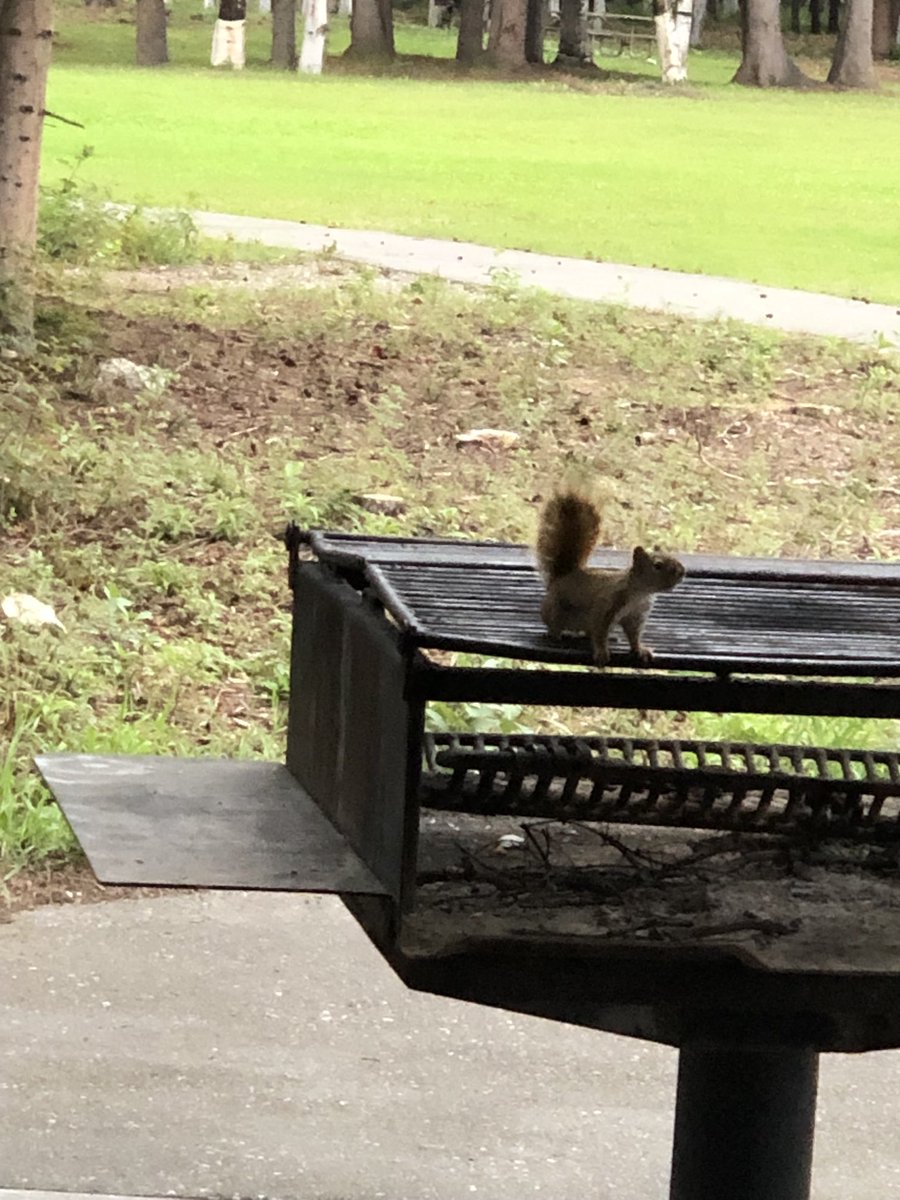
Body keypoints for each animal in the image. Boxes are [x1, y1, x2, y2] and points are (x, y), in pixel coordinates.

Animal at [536, 485, 685, 668]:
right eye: (657, 565)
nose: (682, 572)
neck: (640, 592)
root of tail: (560, 579)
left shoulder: (636, 615)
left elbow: (633, 635)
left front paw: (640, 649)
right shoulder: (607, 603)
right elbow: (599, 630)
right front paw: (601, 653)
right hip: (555, 610)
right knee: (555, 625)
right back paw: (555, 635)